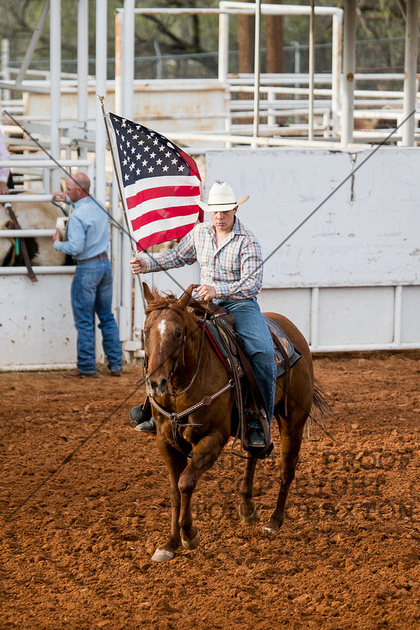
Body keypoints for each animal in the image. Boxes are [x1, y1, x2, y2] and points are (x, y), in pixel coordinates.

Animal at [141, 282, 328, 564]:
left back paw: (274, 523)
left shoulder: (214, 437)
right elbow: (174, 490)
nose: (155, 383)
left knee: (287, 469)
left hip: (293, 420)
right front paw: (170, 543)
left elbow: (186, 482)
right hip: (255, 421)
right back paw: (247, 506)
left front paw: (190, 534)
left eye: (178, 333)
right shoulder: (165, 441)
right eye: (145, 331)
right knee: (254, 451)